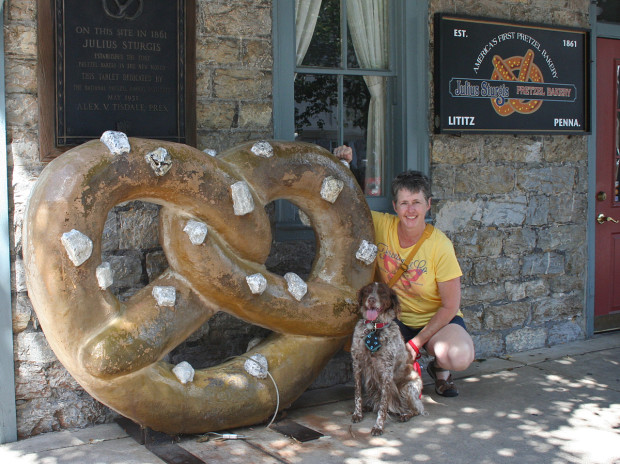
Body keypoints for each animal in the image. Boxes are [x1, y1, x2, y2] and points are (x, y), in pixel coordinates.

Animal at [352, 280, 424, 436]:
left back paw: (405, 415)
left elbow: (383, 405)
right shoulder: (357, 364)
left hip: (409, 388)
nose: (371, 300)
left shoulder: (386, 372)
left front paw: (378, 426)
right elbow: (357, 394)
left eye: (383, 293)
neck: (374, 328)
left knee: (417, 409)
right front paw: (357, 413)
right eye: (367, 291)